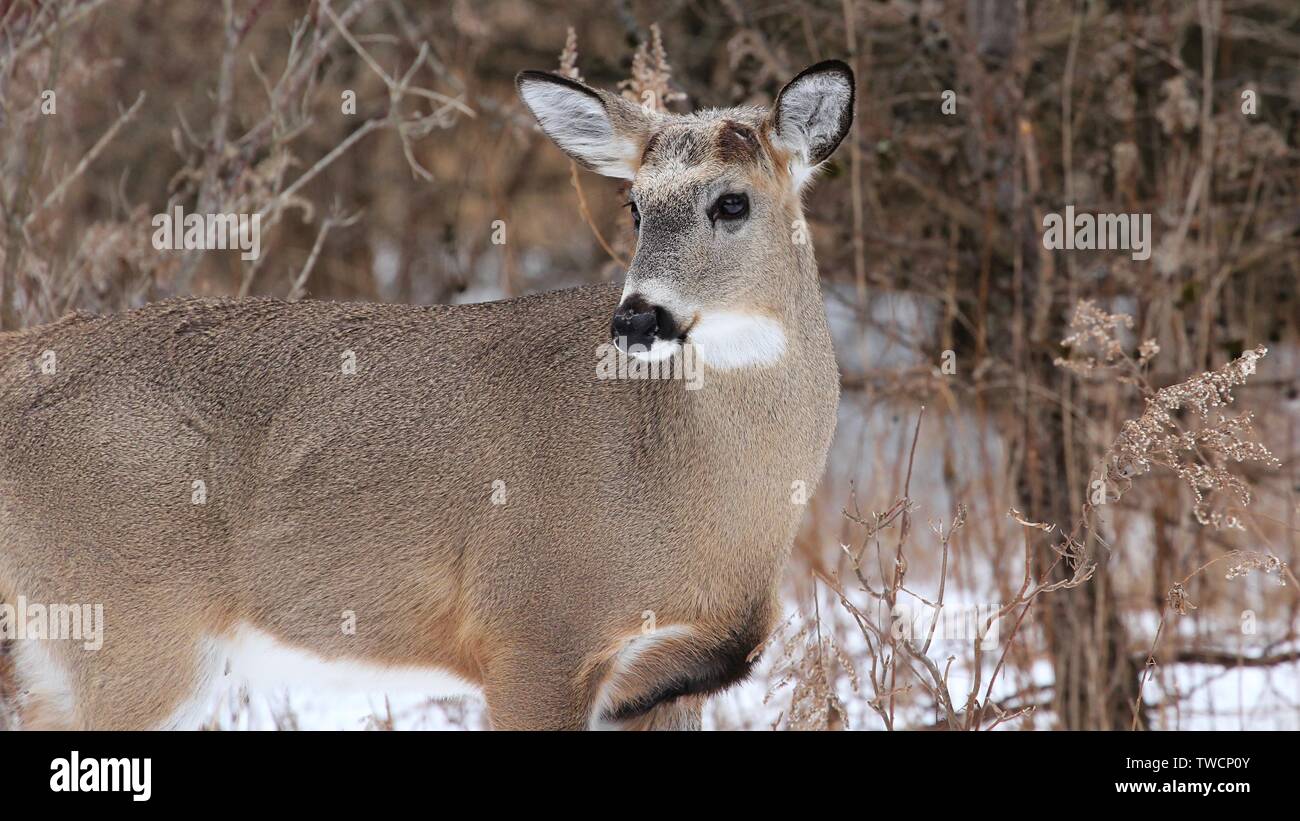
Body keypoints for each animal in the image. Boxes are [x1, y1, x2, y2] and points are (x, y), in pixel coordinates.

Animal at [0, 61, 857, 727]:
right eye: (635, 205)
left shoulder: (665, 682)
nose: (636, 316)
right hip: (134, 623)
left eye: (732, 202)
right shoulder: (532, 629)